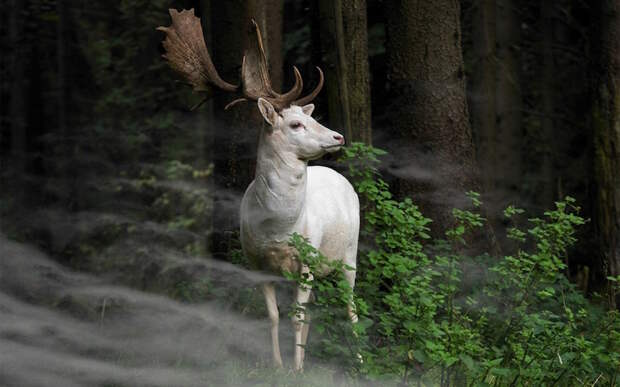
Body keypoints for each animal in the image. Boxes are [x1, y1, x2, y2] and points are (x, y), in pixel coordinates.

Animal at [159, 9, 358, 372]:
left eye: (309, 119)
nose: (338, 136)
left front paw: (296, 369)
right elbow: (275, 316)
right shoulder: (256, 263)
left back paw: (360, 362)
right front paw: (280, 366)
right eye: (296, 124)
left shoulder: (306, 260)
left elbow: (296, 317)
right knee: (314, 311)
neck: (277, 229)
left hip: (349, 256)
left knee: (351, 309)